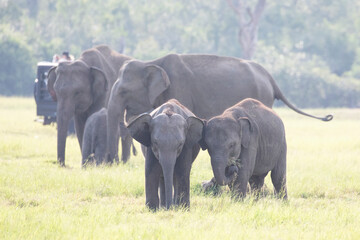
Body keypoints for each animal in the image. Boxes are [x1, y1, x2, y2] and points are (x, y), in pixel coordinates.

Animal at [105, 53, 334, 162]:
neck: (151, 62)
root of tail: (270, 77)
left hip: (262, 96)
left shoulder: (180, 89)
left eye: (123, 91)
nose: (111, 162)